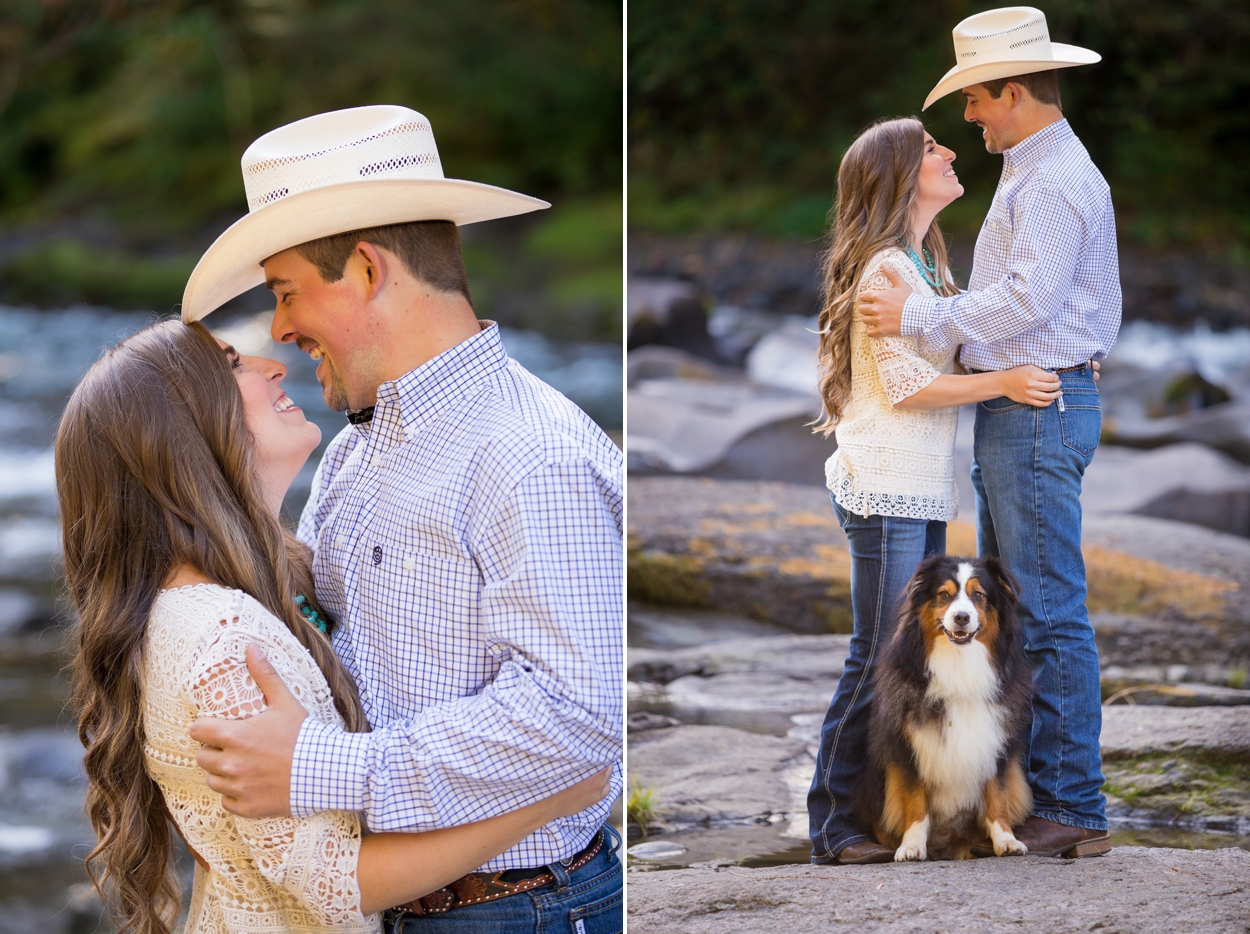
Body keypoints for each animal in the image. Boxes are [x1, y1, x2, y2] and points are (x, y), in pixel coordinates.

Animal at [860, 555, 1035, 860]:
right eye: (944, 594)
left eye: (979, 595)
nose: (961, 617)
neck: (958, 663)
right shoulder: (907, 744)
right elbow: (914, 798)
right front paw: (912, 846)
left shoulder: (997, 740)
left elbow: (998, 793)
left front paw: (1006, 840)